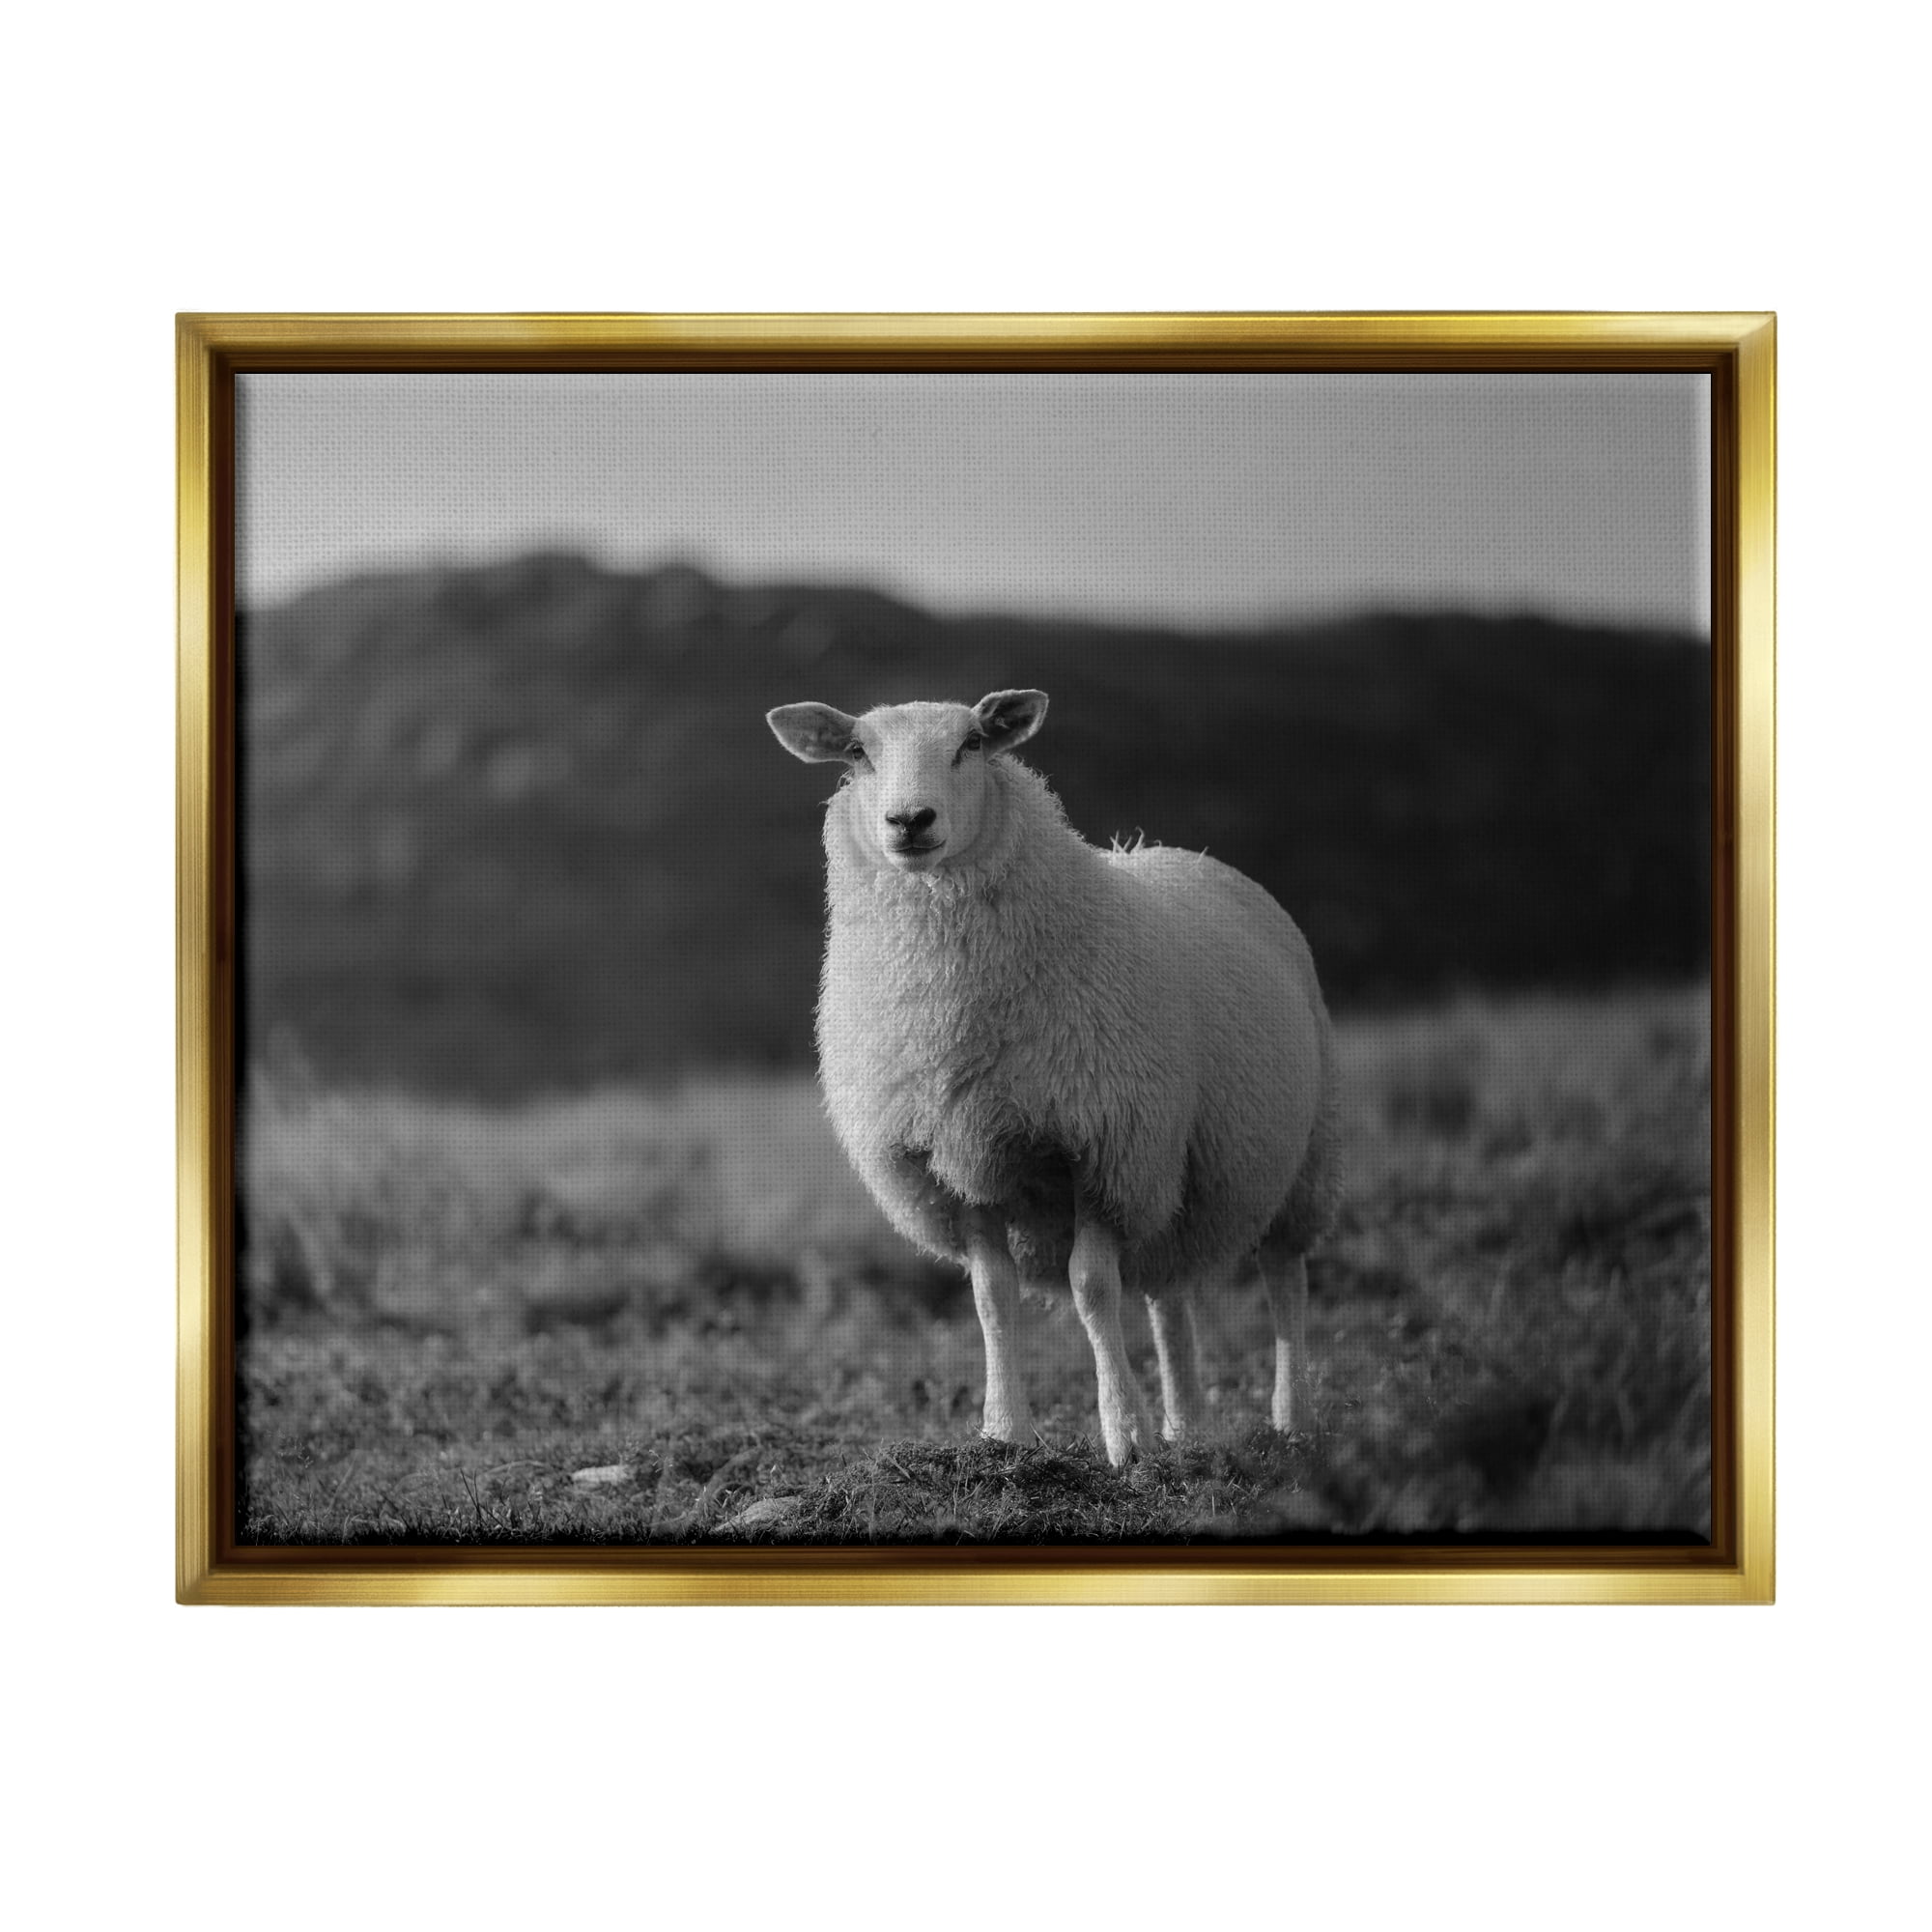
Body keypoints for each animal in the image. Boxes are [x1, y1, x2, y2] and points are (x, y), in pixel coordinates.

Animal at [766, 688, 1342, 1467]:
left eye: (972, 744)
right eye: (857, 753)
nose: (910, 820)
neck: (946, 1007)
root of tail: (1184, 855)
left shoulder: (1101, 1149)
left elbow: (1092, 1289)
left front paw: (1124, 1436)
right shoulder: (956, 1164)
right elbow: (992, 1298)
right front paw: (1005, 1431)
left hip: (1300, 1155)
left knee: (1285, 1279)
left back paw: (1291, 1418)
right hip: (1170, 1169)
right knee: (1168, 1294)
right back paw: (1187, 1426)